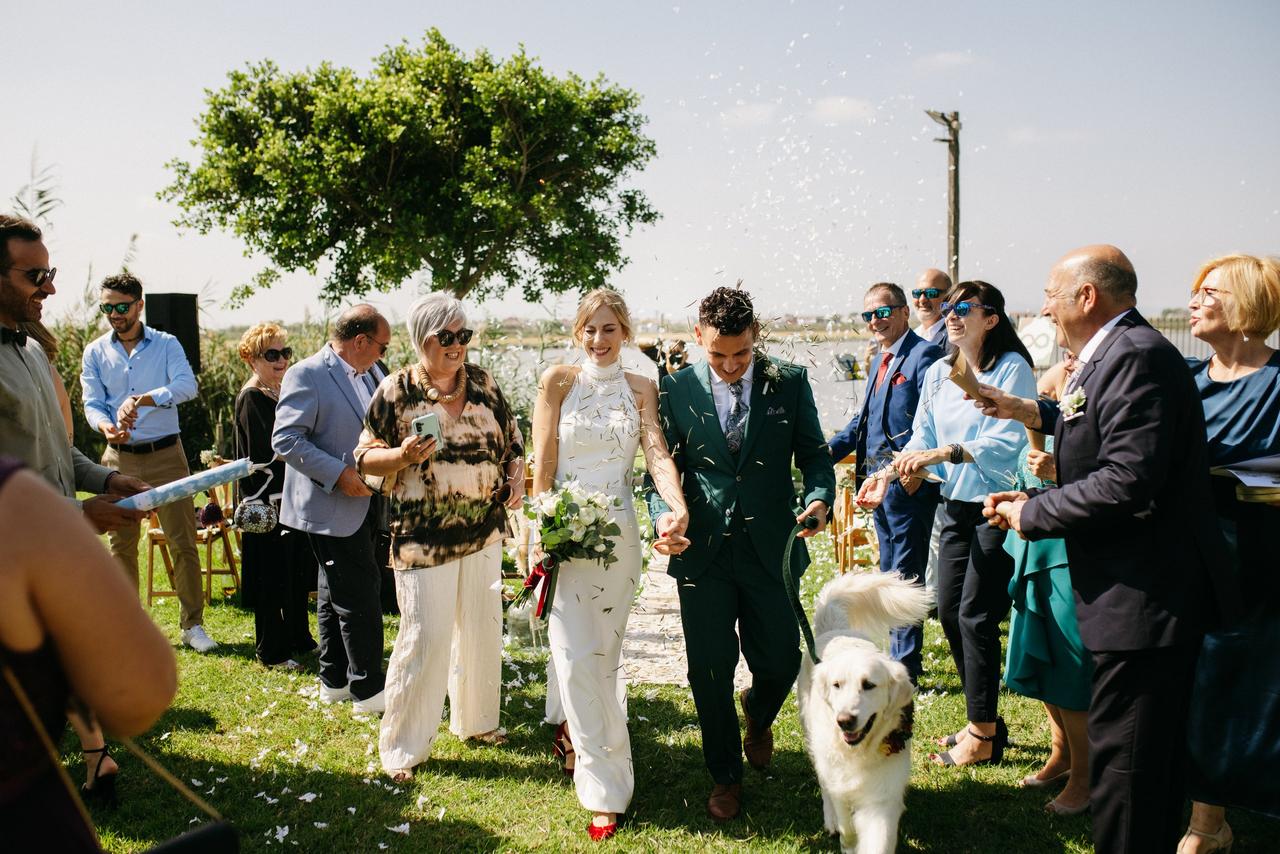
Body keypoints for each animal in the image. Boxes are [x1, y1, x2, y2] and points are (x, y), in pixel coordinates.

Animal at [798, 571, 931, 854]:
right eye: (837, 685)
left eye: (869, 685)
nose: (844, 721)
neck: (858, 753)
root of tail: (836, 629)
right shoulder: (839, 780)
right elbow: (846, 822)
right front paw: (846, 838)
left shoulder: (883, 797)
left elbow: (879, 840)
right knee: (825, 787)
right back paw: (830, 820)